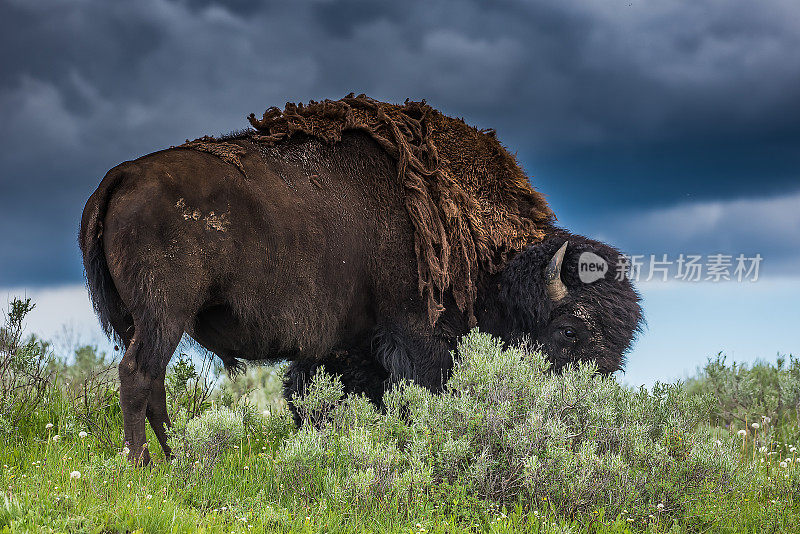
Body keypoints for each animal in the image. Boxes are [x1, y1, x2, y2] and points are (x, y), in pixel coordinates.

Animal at [81, 96, 644, 464]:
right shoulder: (413, 335)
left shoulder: (345, 346)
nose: (586, 417)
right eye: (569, 331)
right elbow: (417, 394)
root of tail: (123, 175)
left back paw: (174, 456)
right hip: (164, 314)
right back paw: (144, 463)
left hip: (150, 321)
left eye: (624, 346)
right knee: (139, 373)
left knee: (153, 380)